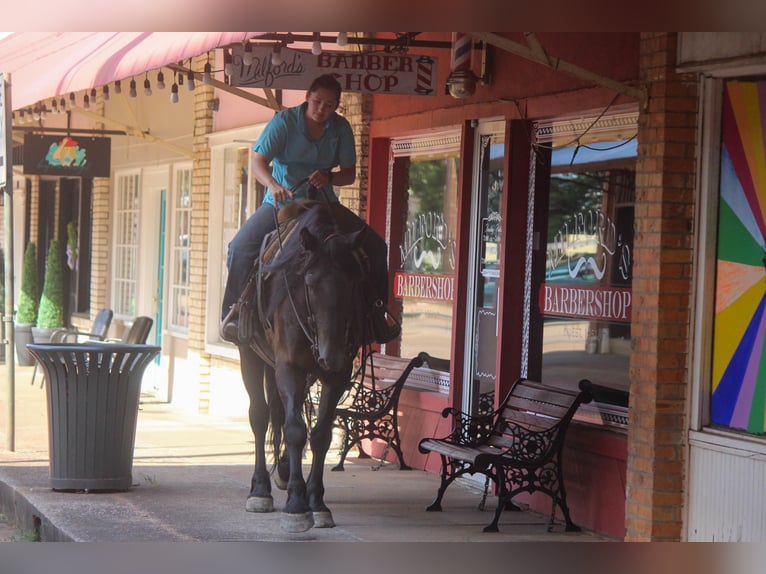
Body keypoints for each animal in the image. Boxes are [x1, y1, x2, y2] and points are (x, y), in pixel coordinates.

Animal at [240, 202, 372, 536]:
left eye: (354, 283)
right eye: (310, 282)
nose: (331, 355)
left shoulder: (338, 376)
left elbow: (321, 433)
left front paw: (317, 501)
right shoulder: (288, 368)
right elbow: (296, 430)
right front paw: (297, 506)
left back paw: (284, 472)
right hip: (249, 354)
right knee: (259, 416)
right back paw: (260, 489)